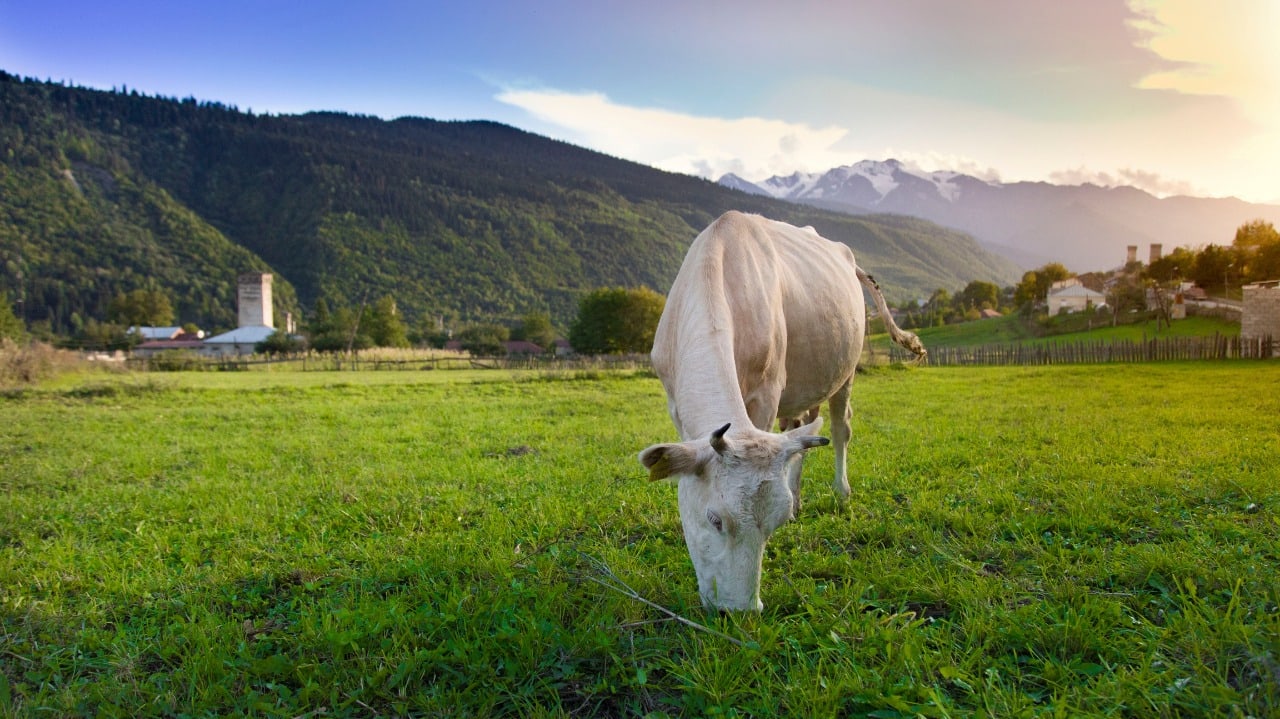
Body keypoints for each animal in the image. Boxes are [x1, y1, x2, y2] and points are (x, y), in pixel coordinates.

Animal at [637, 209, 921, 606]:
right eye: (715, 519)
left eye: (774, 525)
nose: (739, 611)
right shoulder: (677, 405)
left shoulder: (766, 395)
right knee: (800, 433)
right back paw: (799, 496)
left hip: (846, 369)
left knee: (839, 429)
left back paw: (841, 492)